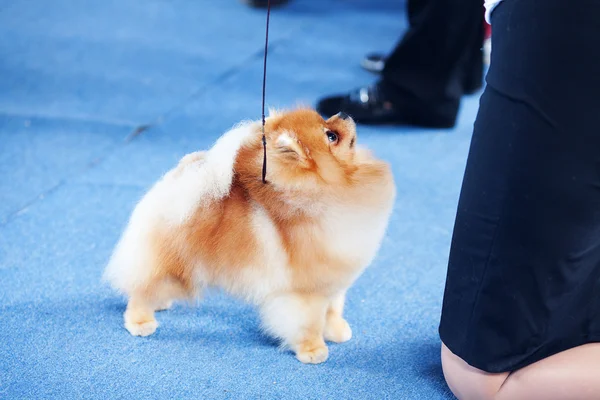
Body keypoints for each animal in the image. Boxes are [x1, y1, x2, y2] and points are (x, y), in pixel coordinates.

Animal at [105, 108, 396, 364]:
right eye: (330, 135)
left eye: (328, 121)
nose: (344, 113)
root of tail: (183, 178)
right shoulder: (305, 291)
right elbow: (310, 323)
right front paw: (313, 351)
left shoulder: (334, 281)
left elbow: (334, 309)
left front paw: (336, 331)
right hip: (173, 259)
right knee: (142, 289)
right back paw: (141, 321)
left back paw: (161, 303)